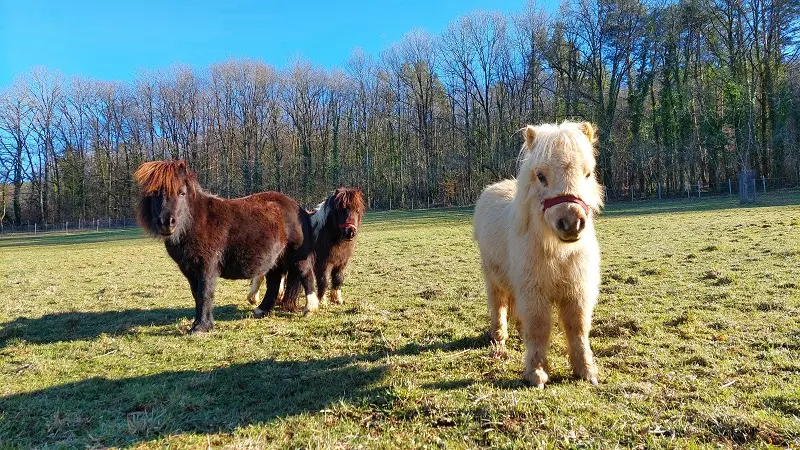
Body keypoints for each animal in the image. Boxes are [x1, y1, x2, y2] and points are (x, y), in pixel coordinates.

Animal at [134, 160, 316, 332]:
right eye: (154, 194)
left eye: (181, 192)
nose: (167, 223)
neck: (196, 222)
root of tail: (298, 208)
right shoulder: (189, 270)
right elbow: (196, 294)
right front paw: (199, 324)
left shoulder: (207, 267)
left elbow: (205, 293)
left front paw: (201, 327)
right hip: (276, 260)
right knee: (274, 281)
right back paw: (262, 310)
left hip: (296, 256)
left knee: (305, 274)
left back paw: (310, 309)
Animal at [472, 120, 604, 386]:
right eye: (541, 176)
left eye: (587, 173)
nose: (571, 223)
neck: (559, 253)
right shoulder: (534, 293)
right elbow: (539, 328)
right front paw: (537, 373)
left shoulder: (577, 291)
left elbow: (577, 327)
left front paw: (586, 370)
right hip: (492, 277)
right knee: (499, 303)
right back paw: (499, 338)